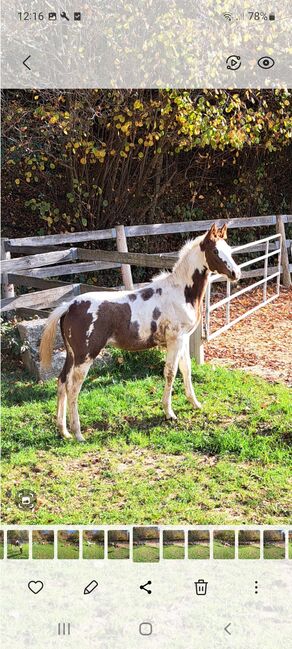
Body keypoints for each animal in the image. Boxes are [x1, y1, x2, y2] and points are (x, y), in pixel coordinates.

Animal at [41, 223, 242, 440]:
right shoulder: (175, 340)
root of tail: (69, 306)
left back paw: (64, 431)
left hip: (71, 355)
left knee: (61, 382)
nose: (236, 274)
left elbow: (186, 370)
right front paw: (169, 413)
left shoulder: (183, 339)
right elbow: (170, 372)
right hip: (85, 356)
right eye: (215, 251)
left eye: (229, 249)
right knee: (73, 388)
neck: (181, 293)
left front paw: (195, 404)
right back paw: (78, 433)